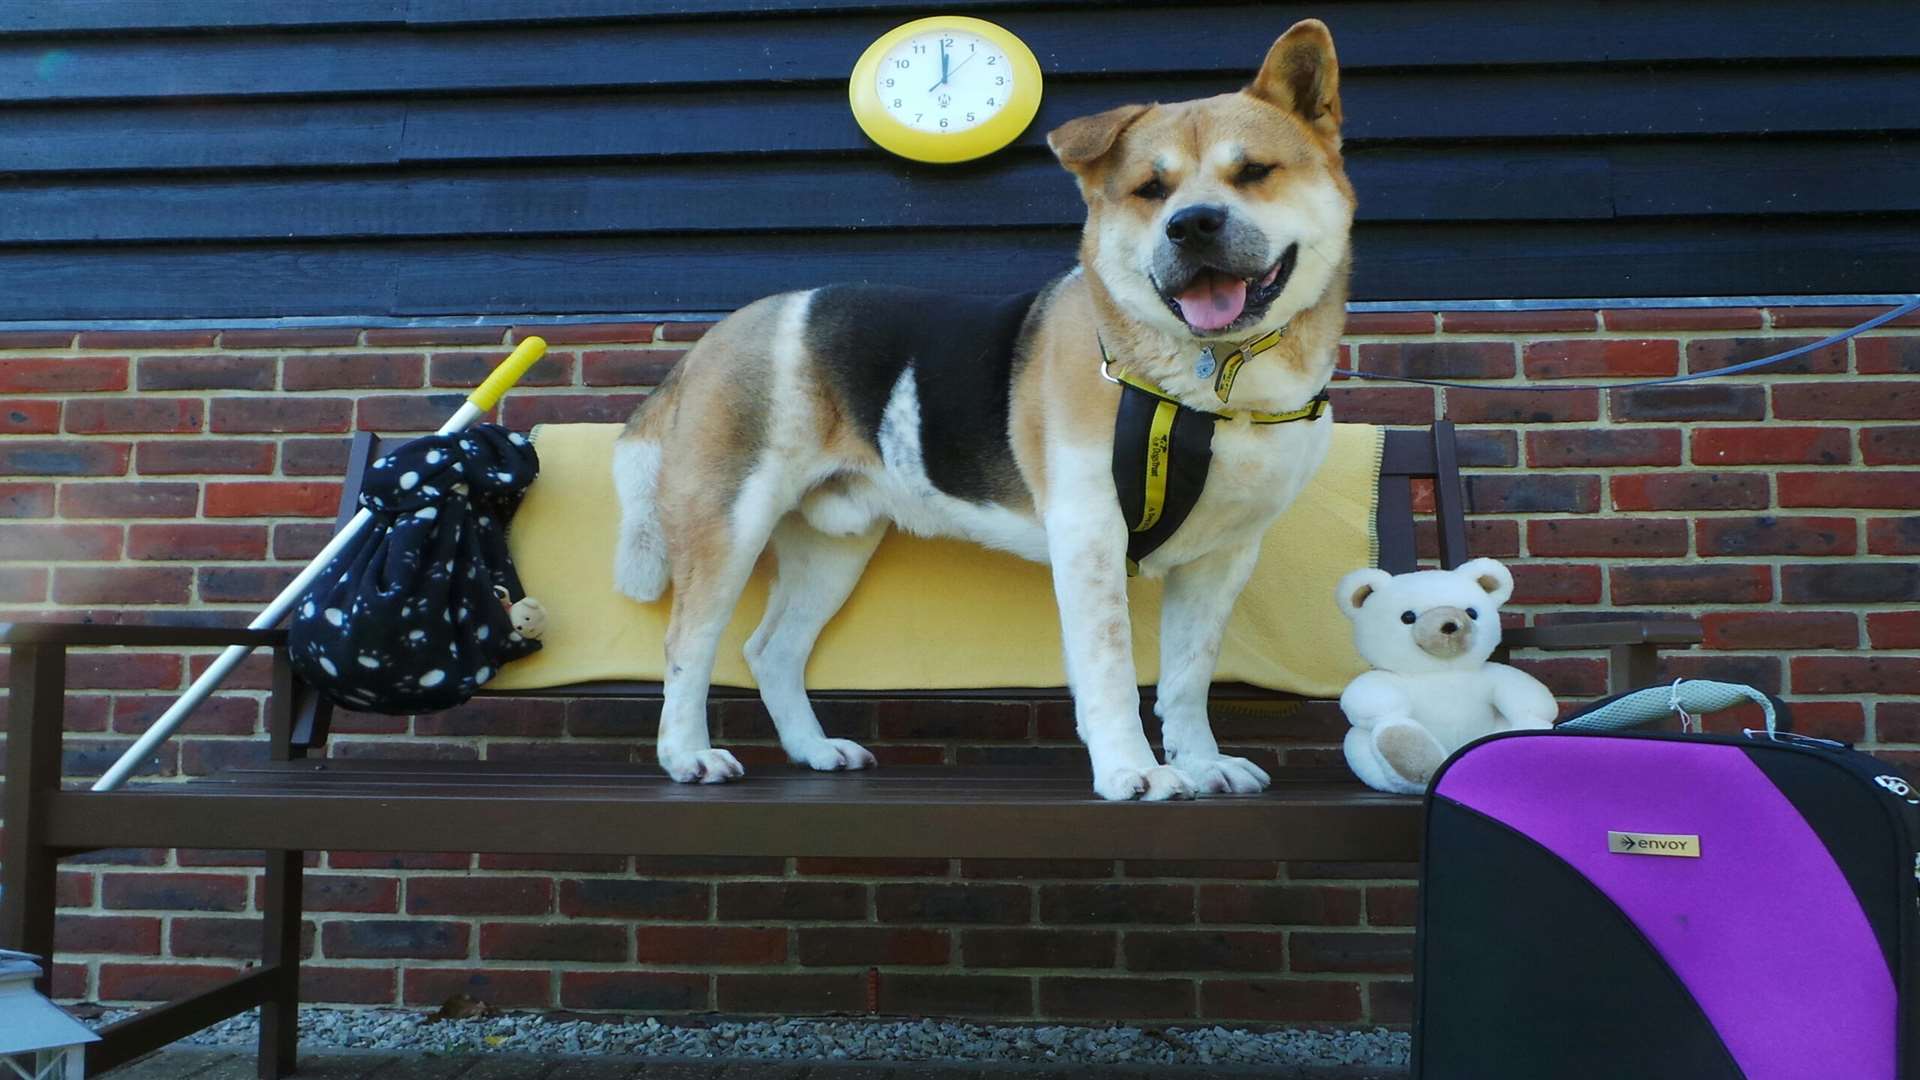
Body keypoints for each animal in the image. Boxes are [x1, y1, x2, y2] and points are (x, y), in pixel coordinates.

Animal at [610, 18, 1351, 799]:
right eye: (1151, 189)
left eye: (1255, 173)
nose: (1194, 225)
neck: (1211, 382)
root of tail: (718, 334)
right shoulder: (1089, 534)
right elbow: (1111, 669)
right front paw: (1132, 771)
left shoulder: (1223, 557)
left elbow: (1188, 675)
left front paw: (1202, 763)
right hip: (729, 521)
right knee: (688, 643)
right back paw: (687, 755)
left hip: (832, 548)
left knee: (771, 650)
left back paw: (814, 750)